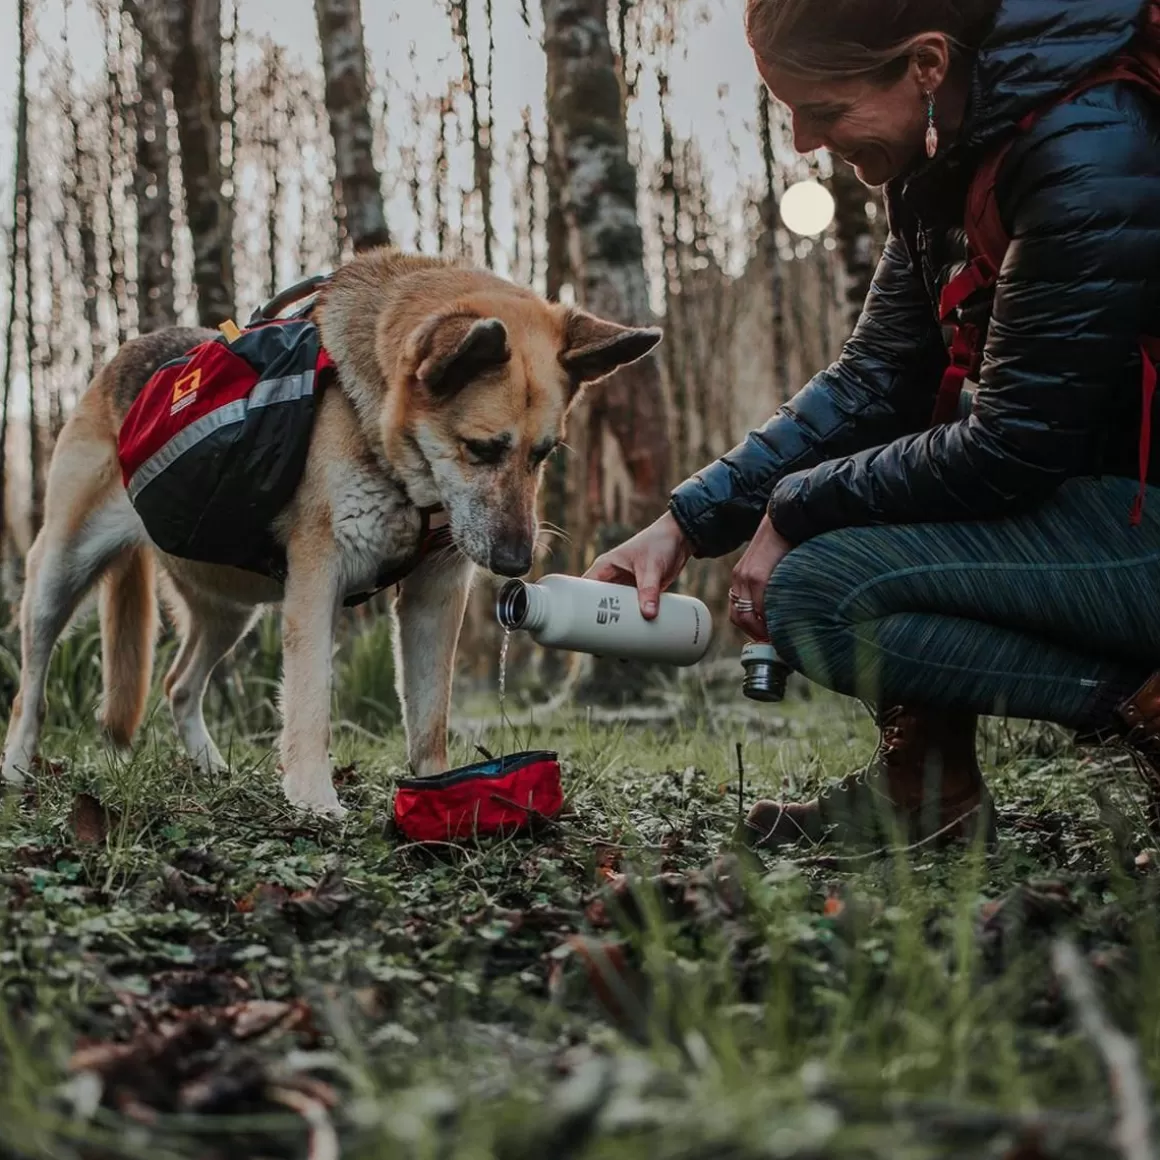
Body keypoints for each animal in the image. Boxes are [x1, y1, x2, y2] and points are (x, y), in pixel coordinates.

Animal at [0, 251, 658, 816]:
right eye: (481, 449)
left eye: (544, 454)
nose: (517, 563)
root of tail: (124, 356)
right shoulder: (318, 584)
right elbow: (312, 700)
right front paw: (315, 800)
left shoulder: (433, 596)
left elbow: (429, 719)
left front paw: (439, 792)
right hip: (58, 576)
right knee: (31, 688)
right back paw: (16, 768)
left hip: (233, 608)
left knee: (179, 684)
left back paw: (209, 768)